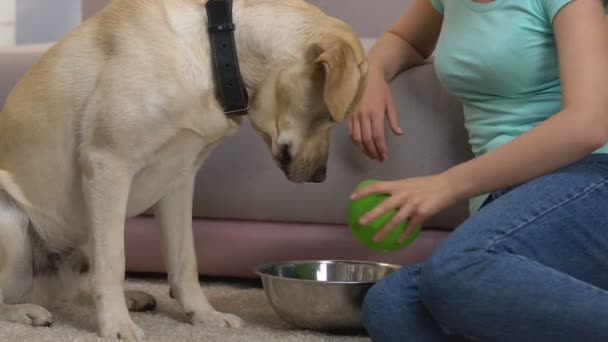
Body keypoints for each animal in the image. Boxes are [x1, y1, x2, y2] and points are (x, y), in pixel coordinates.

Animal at [0, 0, 366, 338]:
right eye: (331, 116)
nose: (321, 176)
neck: (216, 50)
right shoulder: (108, 165)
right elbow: (114, 264)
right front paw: (116, 326)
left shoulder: (178, 179)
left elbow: (185, 262)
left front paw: (204, 315)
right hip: (15, 226)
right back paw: (28, 311)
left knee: (75, 287)